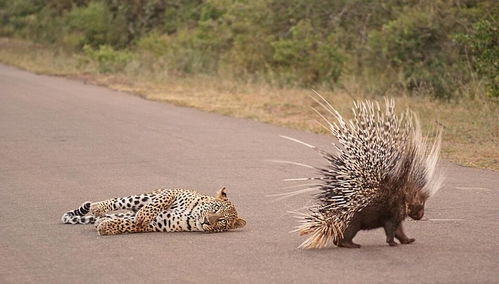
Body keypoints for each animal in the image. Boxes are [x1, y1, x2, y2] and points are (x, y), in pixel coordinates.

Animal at [61, 186, 247, 235]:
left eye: (222, 221)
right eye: (215, 209)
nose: (207, 221)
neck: (193, 216)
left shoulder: (159, 223)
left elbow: (129, 225)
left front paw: (106, 227)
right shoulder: (173, 191)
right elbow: (158, 202)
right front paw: (144, 215)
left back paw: (102, 219)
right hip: (143, 196)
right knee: (119, 201)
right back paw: (97, 207)